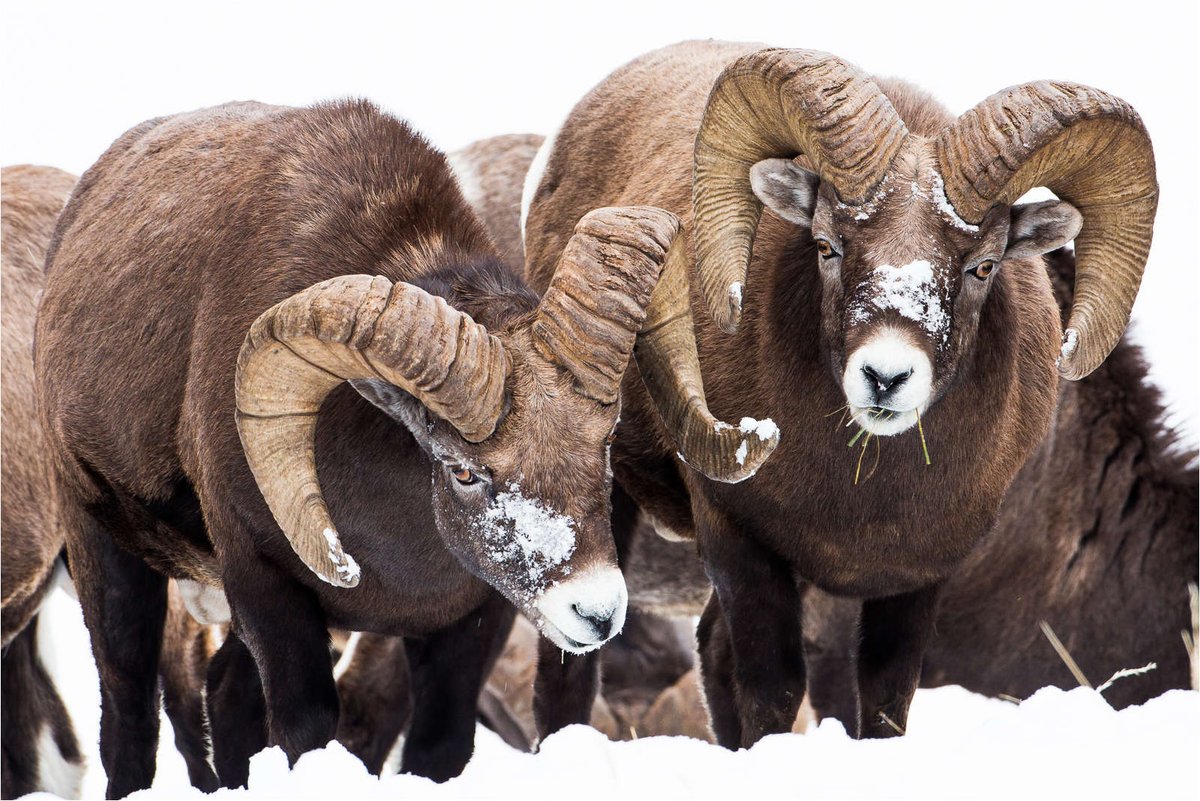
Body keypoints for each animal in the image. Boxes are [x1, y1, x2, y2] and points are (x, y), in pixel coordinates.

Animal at [33, 98, 682, 796]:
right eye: (464, 472)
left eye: (605, 439)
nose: (596, 612)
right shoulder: (264, 589)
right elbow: (311, 728)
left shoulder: (472, 622)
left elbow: (438, 745)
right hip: (106, 555)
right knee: (128, 709)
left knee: (225, 693)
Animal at [521, 40, 1162, 743]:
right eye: (827, 245)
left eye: (983, 265)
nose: (885, 377)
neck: (863, 495)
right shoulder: (739, 544)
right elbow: (773, 690)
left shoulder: (917, 577)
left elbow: (884, 701)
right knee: (571, 668)